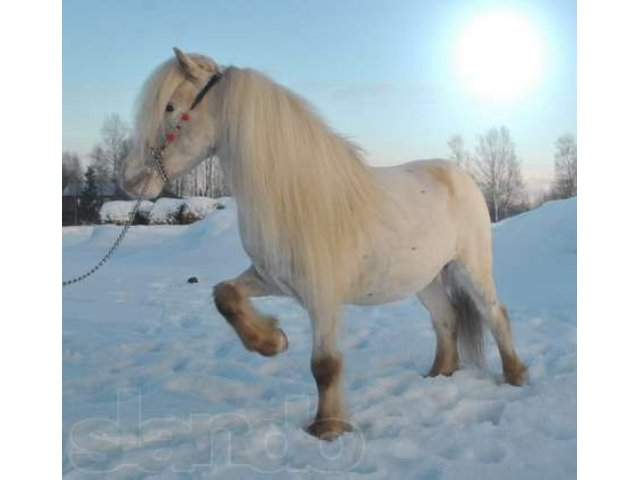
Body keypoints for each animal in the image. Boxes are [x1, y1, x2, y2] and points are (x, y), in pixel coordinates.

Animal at [120, 48, 524, 438]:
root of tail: (460, 175)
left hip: (470, 268)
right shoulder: (271, 278)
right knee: (446, 318)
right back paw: (438, 374)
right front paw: (272, 341)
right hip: (426, 278)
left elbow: (325, 365)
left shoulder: (323, 295)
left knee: (494, 314)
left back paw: (515, 376)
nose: (130, 179)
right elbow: (225, 295)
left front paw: (327, 428)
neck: (294, 194)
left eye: (169, 107)